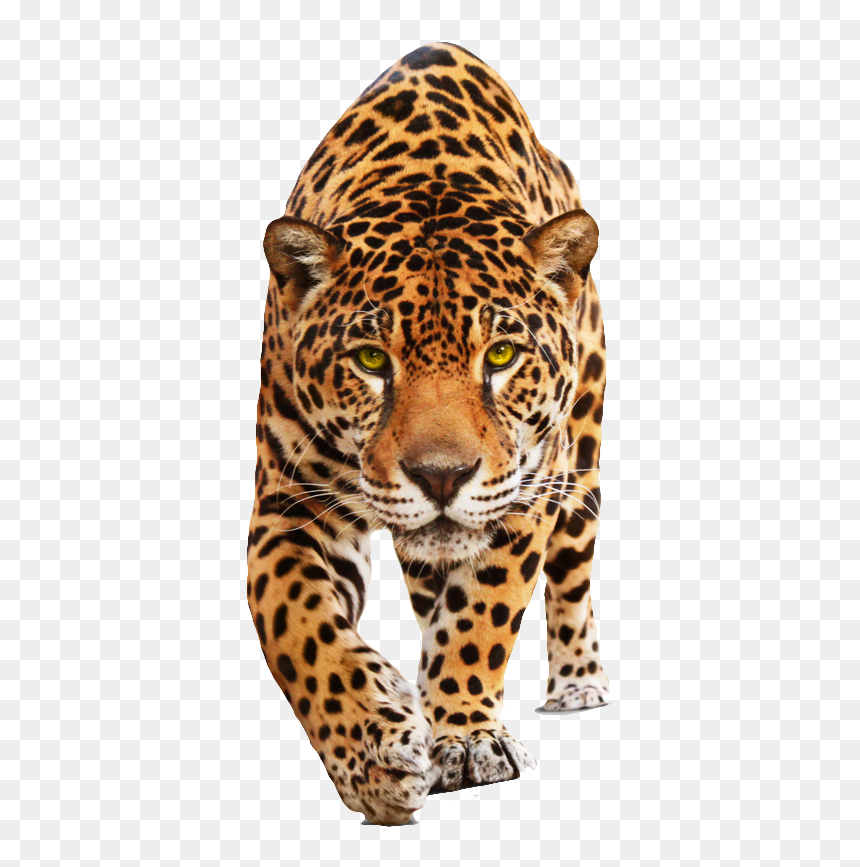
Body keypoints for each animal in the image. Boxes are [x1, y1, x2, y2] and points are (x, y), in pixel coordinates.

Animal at [246, 42, 610, 825]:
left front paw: (467, 737)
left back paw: (577, 681)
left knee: (570, 577)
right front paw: (374, 755)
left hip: (583, 464)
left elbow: (483, 615)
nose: (441, 476)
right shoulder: (289, 505)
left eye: (500, 356)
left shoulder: (525, 490)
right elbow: (298, 628)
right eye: (370, 360)